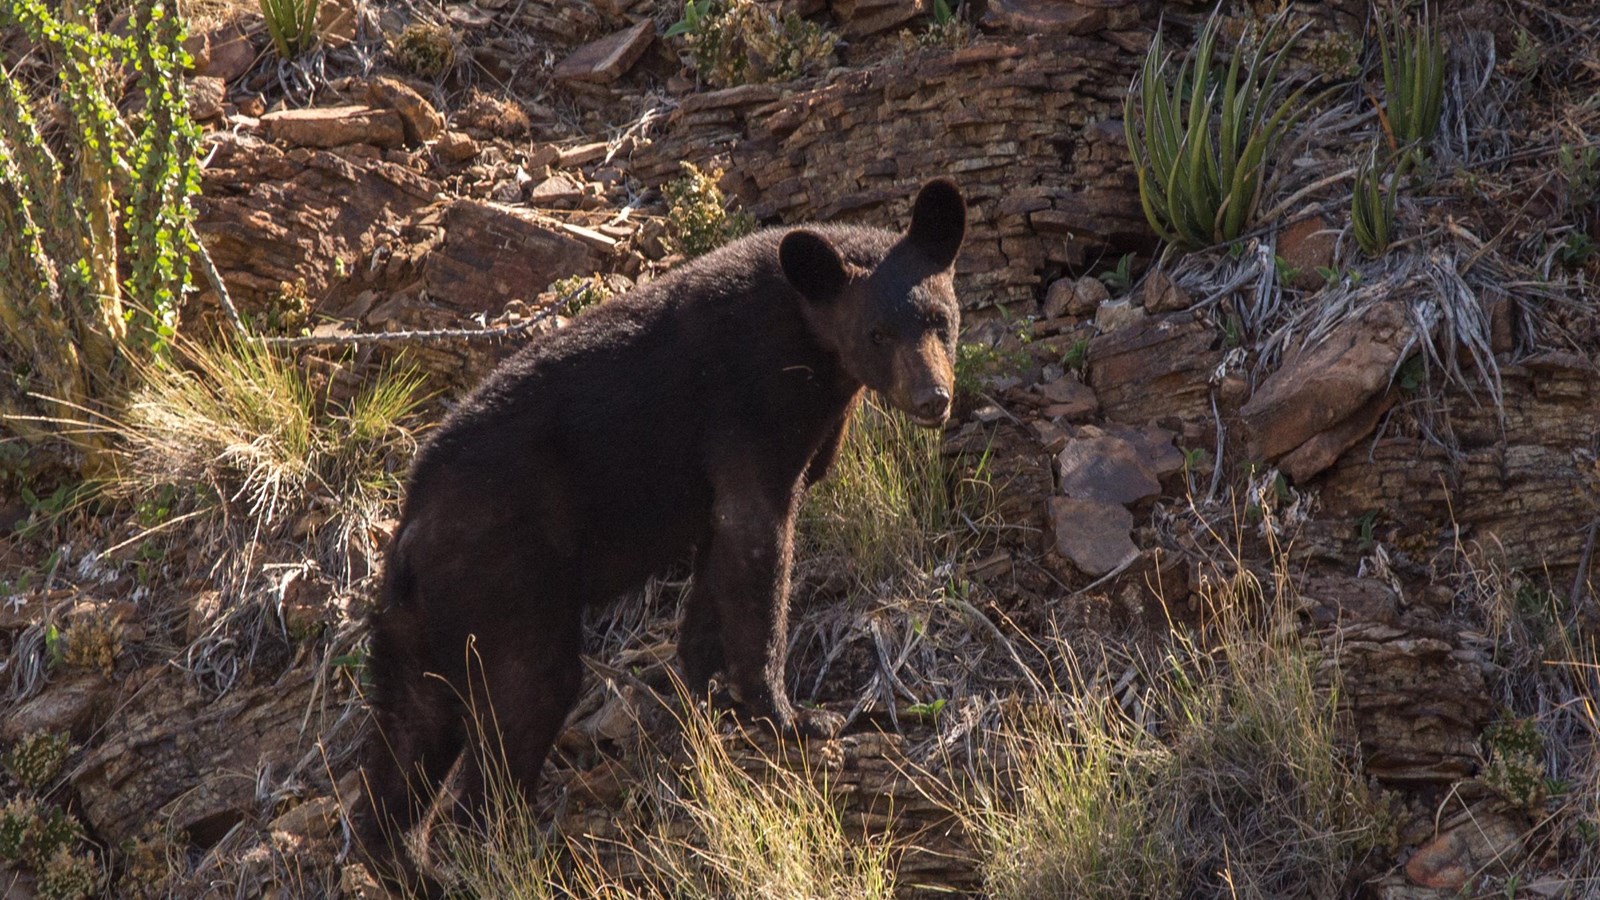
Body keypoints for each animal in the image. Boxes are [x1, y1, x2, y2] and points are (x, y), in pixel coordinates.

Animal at [352, 178, 967, 893]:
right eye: (877, 332)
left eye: (942, 321)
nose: (933, 399)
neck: (808, 341)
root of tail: (406, 539)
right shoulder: (747, 414)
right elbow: (759, 546)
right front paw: (795, 716)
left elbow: (715, 573)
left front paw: (704, 697)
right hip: (502, 578)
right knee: (524, 699)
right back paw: (512, 851)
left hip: (415, 628)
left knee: (410, 727)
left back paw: (413, 866)